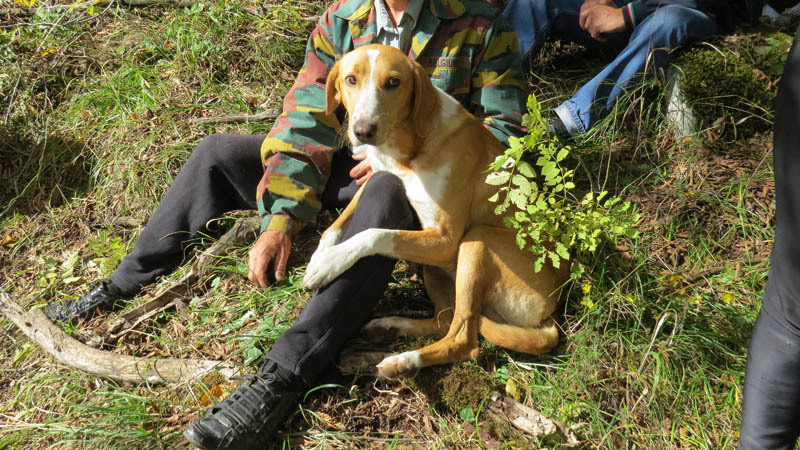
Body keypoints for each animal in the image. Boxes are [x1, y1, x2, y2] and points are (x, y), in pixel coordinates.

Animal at [300, 44, 568, 378]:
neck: (409, 149)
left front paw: (330, 262)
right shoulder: (377, 174)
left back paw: (405, 359)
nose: (363, 131)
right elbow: (335, 224)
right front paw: (320, 255)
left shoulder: (446, 240)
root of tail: (551, 308)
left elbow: (375, 233)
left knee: (464, 340)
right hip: (437, 271)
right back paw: (392, 327)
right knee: (445, 320)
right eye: (351, 79)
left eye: (393, 83)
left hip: (475, 242)